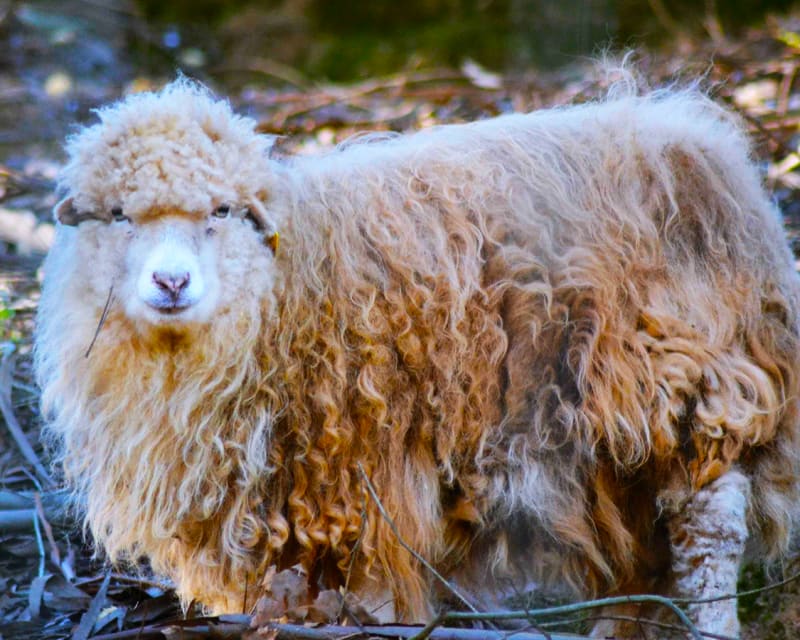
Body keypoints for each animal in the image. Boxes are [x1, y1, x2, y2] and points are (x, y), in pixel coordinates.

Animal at [34, 77, 800, 636]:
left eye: (221, 212)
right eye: (118, 216)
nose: (171, 283)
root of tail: (703, 145)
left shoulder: (360, 478)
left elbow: (371, 587)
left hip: (686, 381)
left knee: (709, 525)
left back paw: (710, 624)